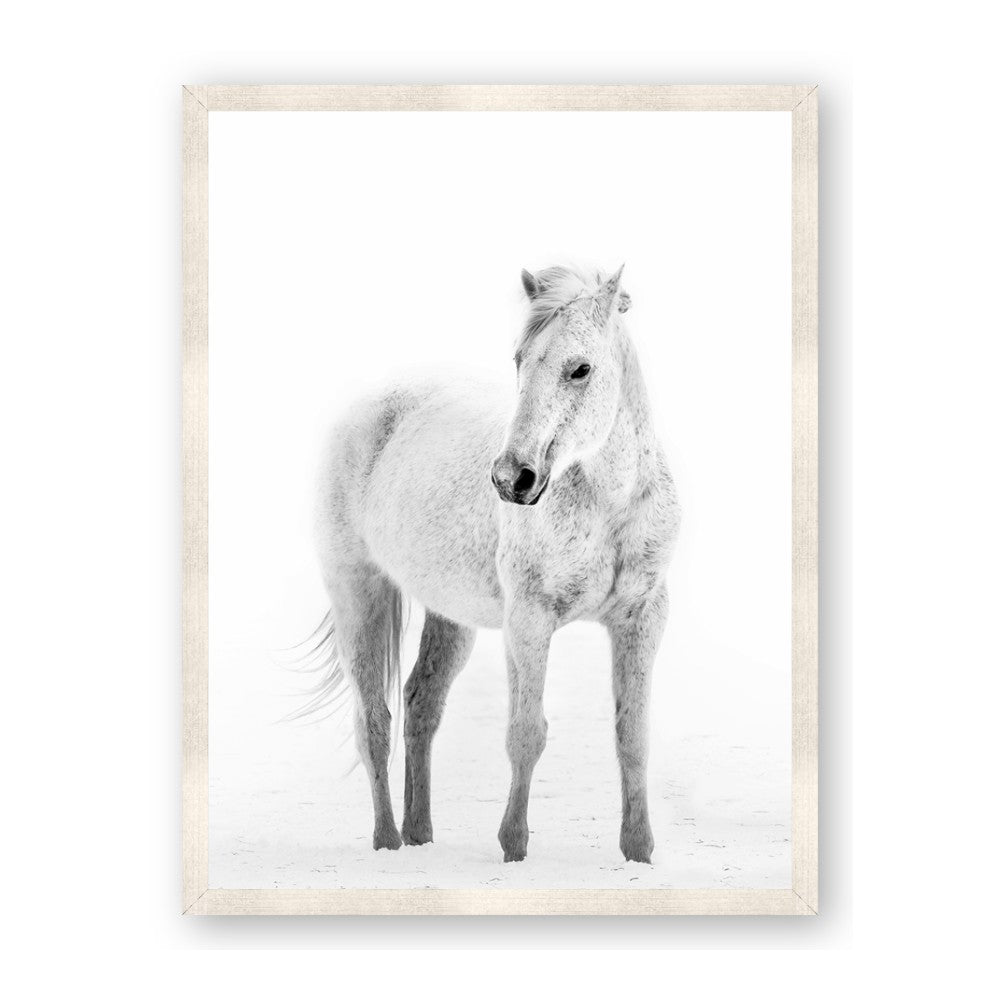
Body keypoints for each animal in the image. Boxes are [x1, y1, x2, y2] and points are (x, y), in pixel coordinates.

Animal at [310, 263, 681, 863]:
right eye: (519, 360)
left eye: (580, 369)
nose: (512, 479)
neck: (610, 505)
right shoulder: (528, 621)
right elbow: (526, 733)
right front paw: (513, 847)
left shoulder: (643, 617)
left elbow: (633, 736)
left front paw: (639, 852)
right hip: (357, 593)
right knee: (374, 721)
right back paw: (388, 841)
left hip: (449, 617)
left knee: (420, 705)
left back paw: (420, 833)